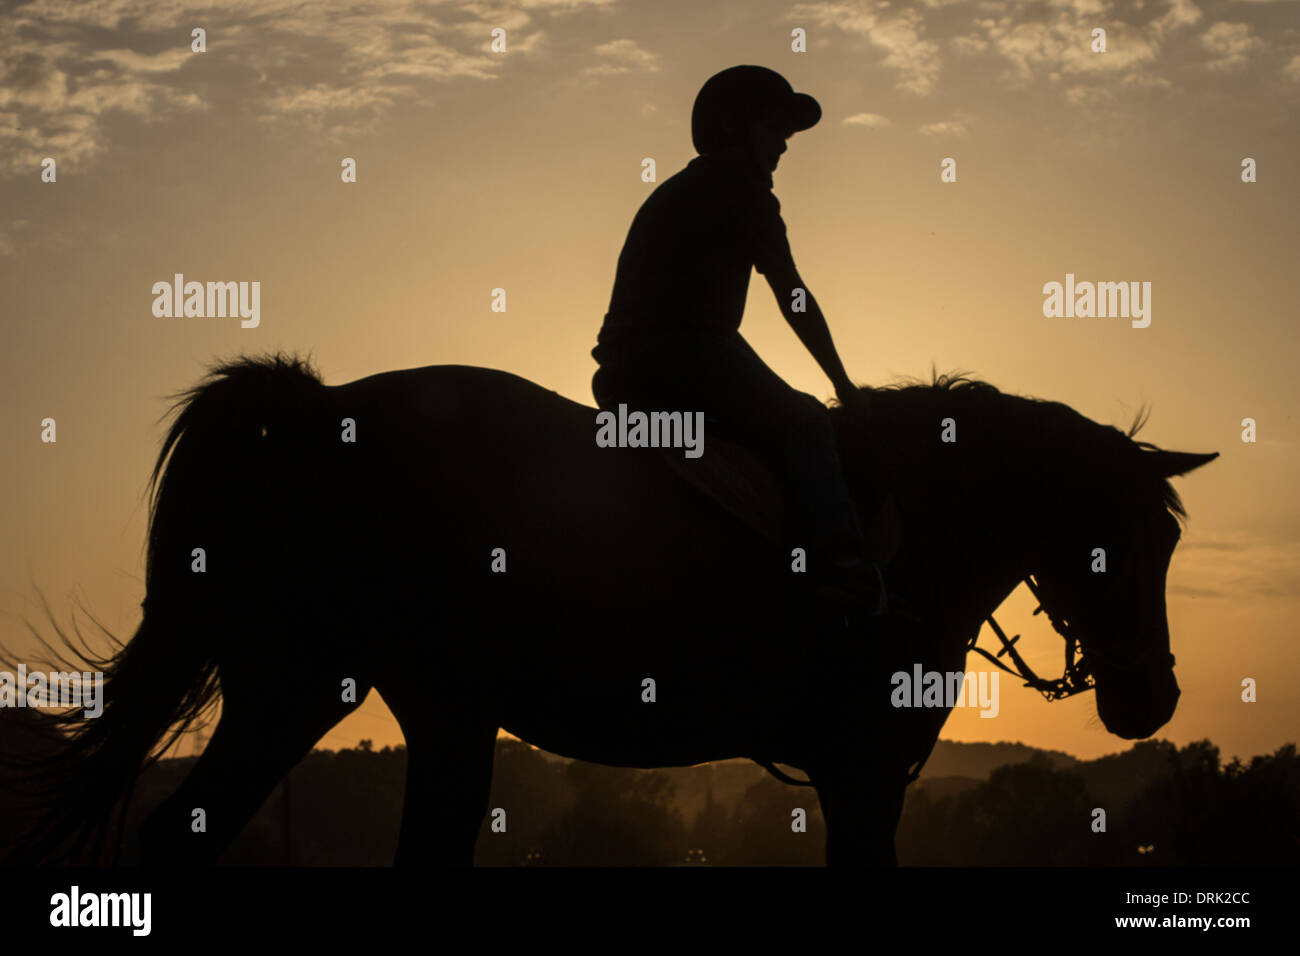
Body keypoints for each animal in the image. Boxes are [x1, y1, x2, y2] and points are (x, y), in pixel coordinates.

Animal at [2, 356, 1216, 868]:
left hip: (310, 690)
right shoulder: (863, 773)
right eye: (1122, 542)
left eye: (1170, 543)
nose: (1151, 700)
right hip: (395, 698)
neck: (914, 516)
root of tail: (317, 409)